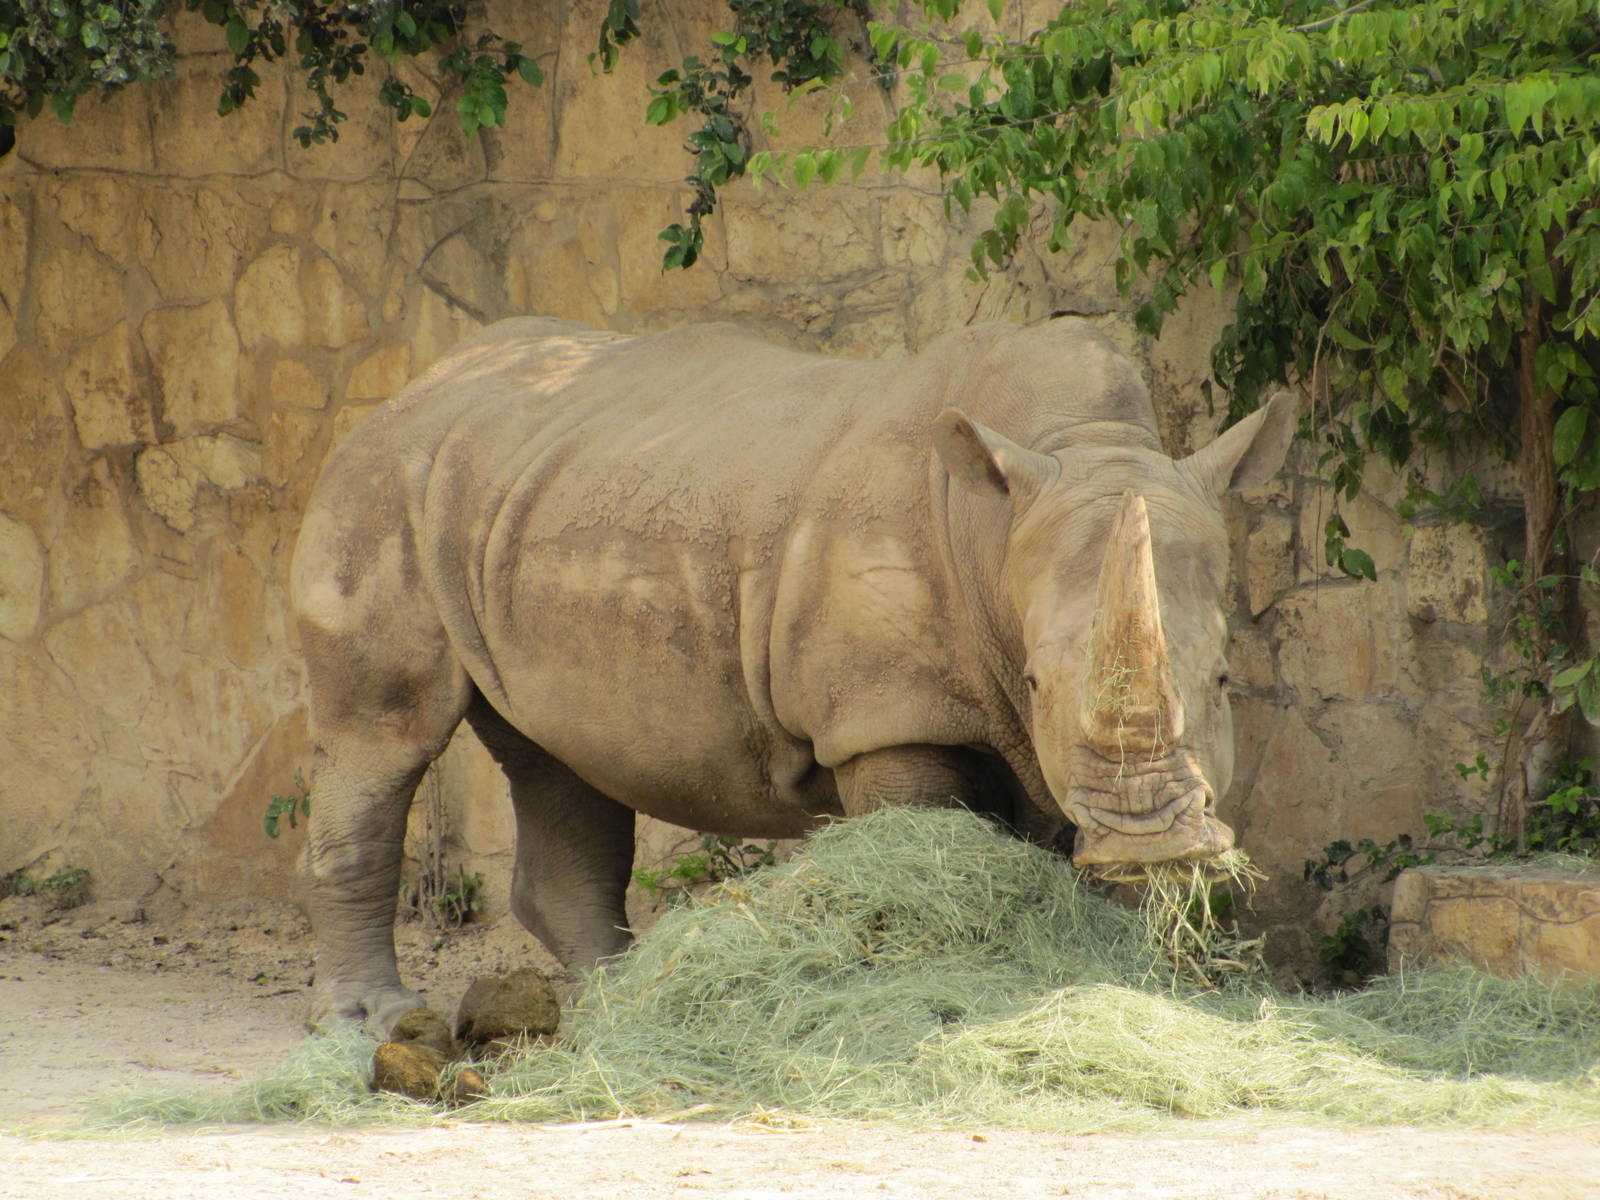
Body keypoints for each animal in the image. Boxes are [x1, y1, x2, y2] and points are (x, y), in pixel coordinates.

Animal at [291, 316, 1294, 1029]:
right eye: (1040, 683)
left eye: (1222, 681)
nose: (1148, 837)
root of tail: (411, 386)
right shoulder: (886, 715)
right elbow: (914, 849)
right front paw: (925, 988)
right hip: (383, 482)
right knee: (383, 733)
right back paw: (371, 1021)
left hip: (520, 493)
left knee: (551, 751)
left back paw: (617, 1005)